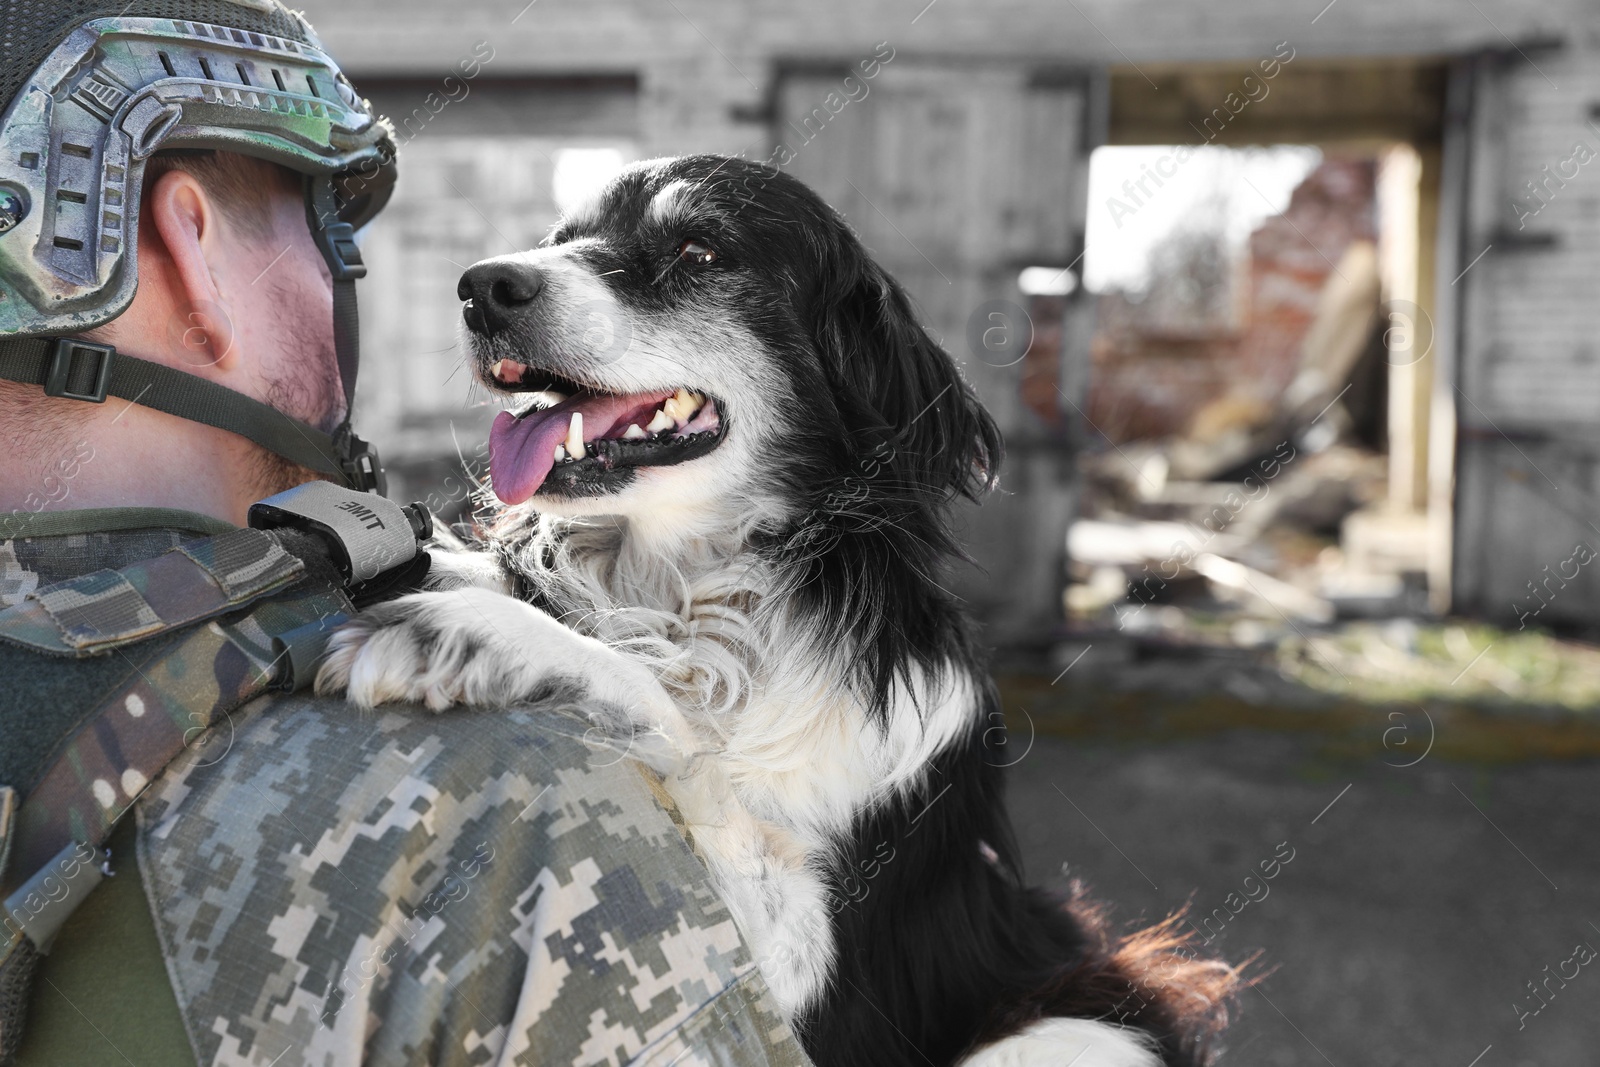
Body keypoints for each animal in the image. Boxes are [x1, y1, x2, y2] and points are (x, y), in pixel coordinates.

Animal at [315, 154, 1235, 1062]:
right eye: (561, 240)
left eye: (699, 250)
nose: (481, 287)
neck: (691, 587)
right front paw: (455, 573)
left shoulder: (814, 981)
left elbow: (670, 724)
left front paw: (492, 633)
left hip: (1075, 1027)